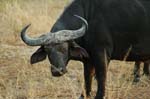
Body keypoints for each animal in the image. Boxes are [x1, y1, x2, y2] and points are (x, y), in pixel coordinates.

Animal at [20, 0, 150, 99]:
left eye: (64, 48)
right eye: (47, 51)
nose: (57, 71)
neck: (89, 18)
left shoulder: (101, 54)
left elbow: (101, 77)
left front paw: (99, 96)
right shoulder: (88, 59)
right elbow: (87, 78)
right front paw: (84, 95)